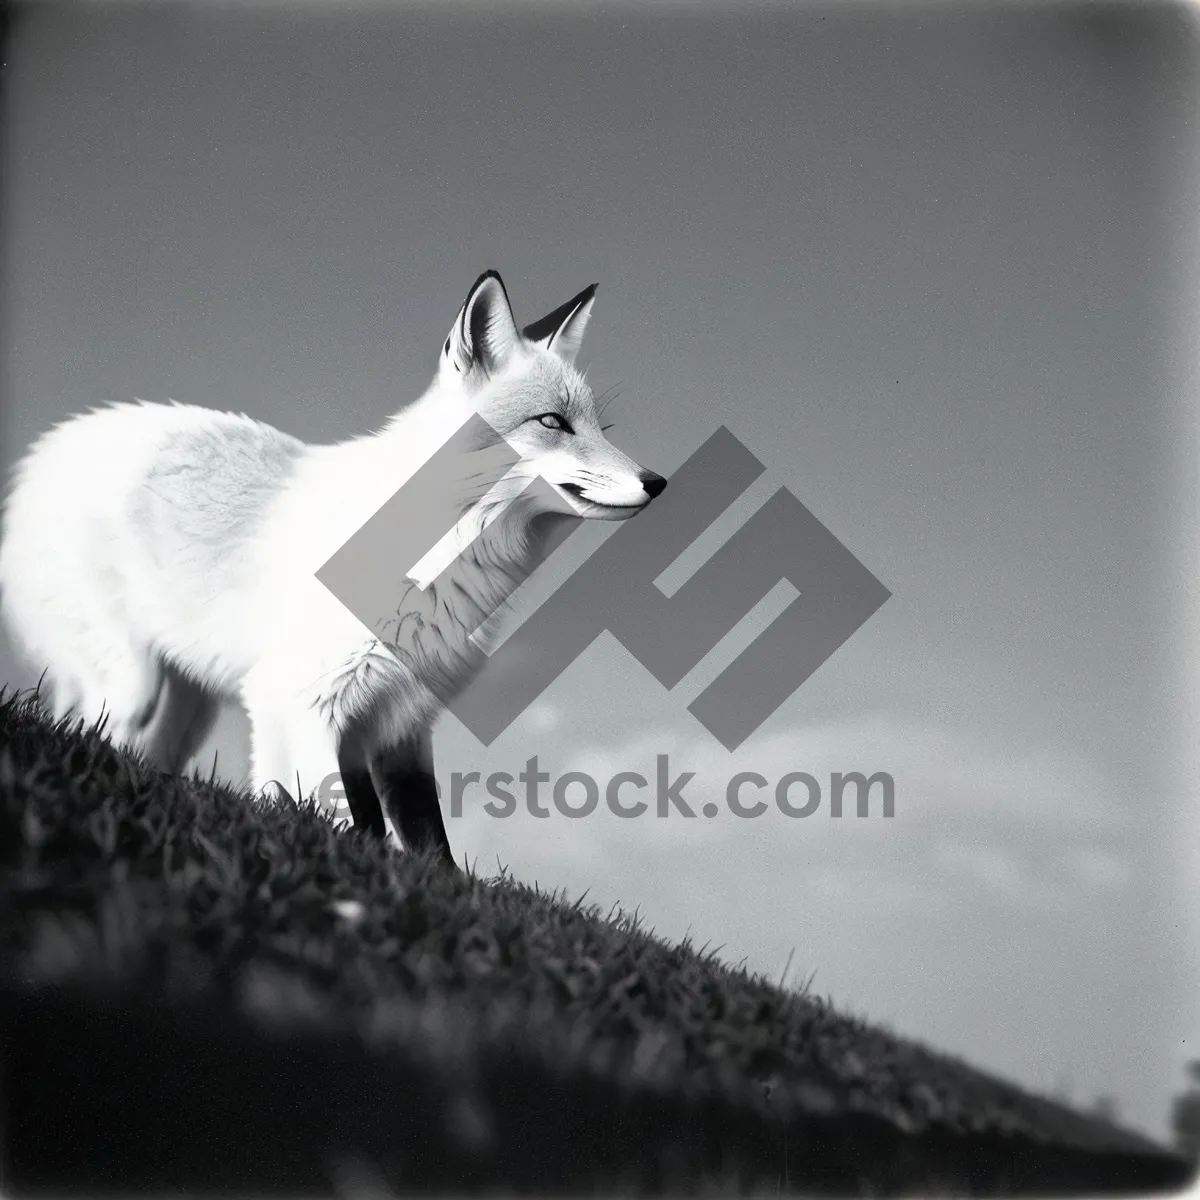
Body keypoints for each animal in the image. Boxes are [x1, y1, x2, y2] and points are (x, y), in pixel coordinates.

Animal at [0, 271, 667, 868]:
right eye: (553, 423)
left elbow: (427, 849)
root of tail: (50, 445)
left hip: (187, 705)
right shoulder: (300, 698)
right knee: (87, 732)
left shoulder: (400, 718)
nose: (657, 483)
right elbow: (336, 822)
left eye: (601, 428)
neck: (435, 565)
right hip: (131, 685)